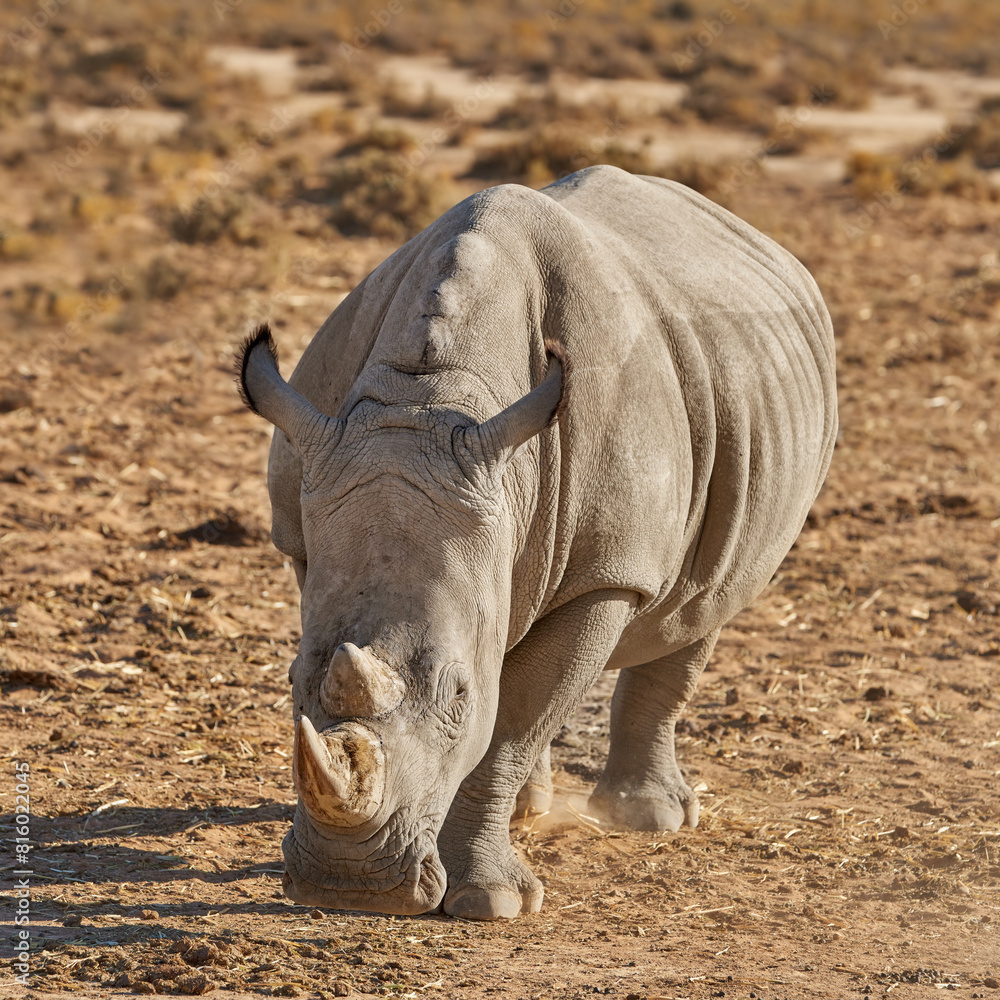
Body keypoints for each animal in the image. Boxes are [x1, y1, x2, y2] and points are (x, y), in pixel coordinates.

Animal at [236, 165, 837, 920]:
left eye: (458, 695)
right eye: (288, 681)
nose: (349, 886)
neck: (426, 401)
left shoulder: (608, 572)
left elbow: (512, 725)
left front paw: (492, 904)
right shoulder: (308, 530)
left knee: (703, 605)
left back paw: (650, 819)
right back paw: (534, 810)